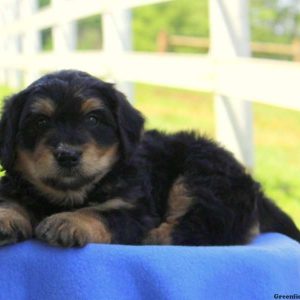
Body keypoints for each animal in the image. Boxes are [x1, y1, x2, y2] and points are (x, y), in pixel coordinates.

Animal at [0, 69, 298, 246]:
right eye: (40, 122)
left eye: (93, 119)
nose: (67, 155)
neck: (68, 196)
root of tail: (255, 189)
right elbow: (11, 201)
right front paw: (6, 219)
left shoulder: (135, 208)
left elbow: (102, 213)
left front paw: (69, 221)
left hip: (199, 175)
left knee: (201, 227)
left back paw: (154, 236)